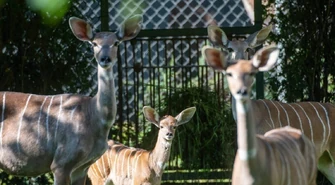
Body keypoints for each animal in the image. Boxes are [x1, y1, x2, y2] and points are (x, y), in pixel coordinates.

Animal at [0, 14, 143, 185]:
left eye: (116, 42)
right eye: (94, 43)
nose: (105, 59)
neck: (93, 115)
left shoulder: (81, 168)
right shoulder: (61, 164)